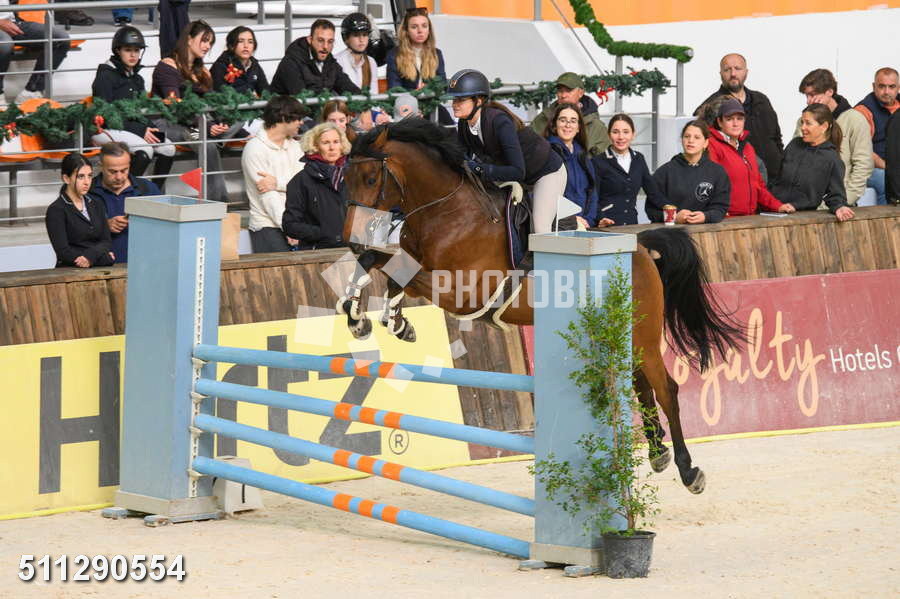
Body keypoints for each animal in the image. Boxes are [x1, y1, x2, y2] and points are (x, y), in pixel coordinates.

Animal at [338, 118, 743, 494]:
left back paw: (689, 470)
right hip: (622, 330)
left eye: (371, 177)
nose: (350, 239)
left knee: (666, 389)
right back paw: (658, 453)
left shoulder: (462, 291)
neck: (445, 209)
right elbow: (378, 263)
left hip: (642, 331)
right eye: (344, 181)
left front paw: (392, 320)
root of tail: (640, 247)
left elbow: (397, 275)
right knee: (640, 382)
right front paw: (362, 318)